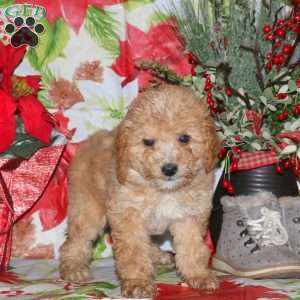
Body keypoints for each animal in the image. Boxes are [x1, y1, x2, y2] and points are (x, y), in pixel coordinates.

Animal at [59, 84, 218, 298]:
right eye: (148, 142)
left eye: (184, 138)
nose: (169, 169)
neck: (162, 190)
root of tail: (88, 142)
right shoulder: (128, 216)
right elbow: (133, 253)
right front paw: (138, 283)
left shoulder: (188, 216)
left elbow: (191, 248)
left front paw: (198, 275)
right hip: (87, 210)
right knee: (75, 241)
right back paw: (73, 268)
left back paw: (158, 255)